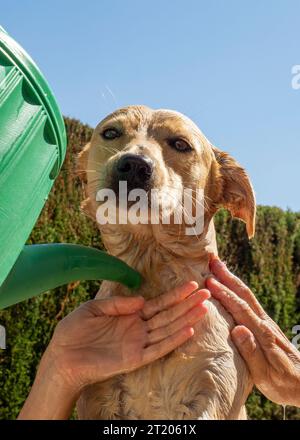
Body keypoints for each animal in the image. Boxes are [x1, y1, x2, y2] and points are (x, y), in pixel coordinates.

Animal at [75, 104, 255, 420]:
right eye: (110, 132)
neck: (153, 263)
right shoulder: (96, 396)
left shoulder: (214, 386)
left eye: (180, 144)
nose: (134, 165)